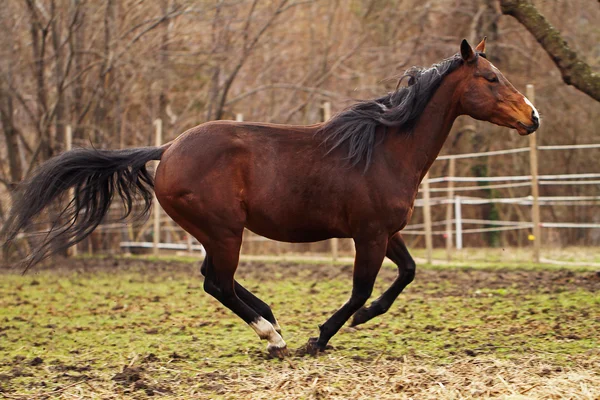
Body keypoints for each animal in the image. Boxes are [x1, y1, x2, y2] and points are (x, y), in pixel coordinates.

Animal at [2, 39, 540, 358]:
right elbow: (361, 288)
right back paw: (274, 335)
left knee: (214, 279)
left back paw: (272, 321)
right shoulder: (367, 235)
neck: (386, 149)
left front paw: (361, 319)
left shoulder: (387, 232)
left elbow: (406, 273)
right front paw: (321, 337)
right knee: (217, 282)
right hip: (224, 231)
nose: (532, 117)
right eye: (491, 78)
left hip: (216, 233)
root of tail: (168, 148)